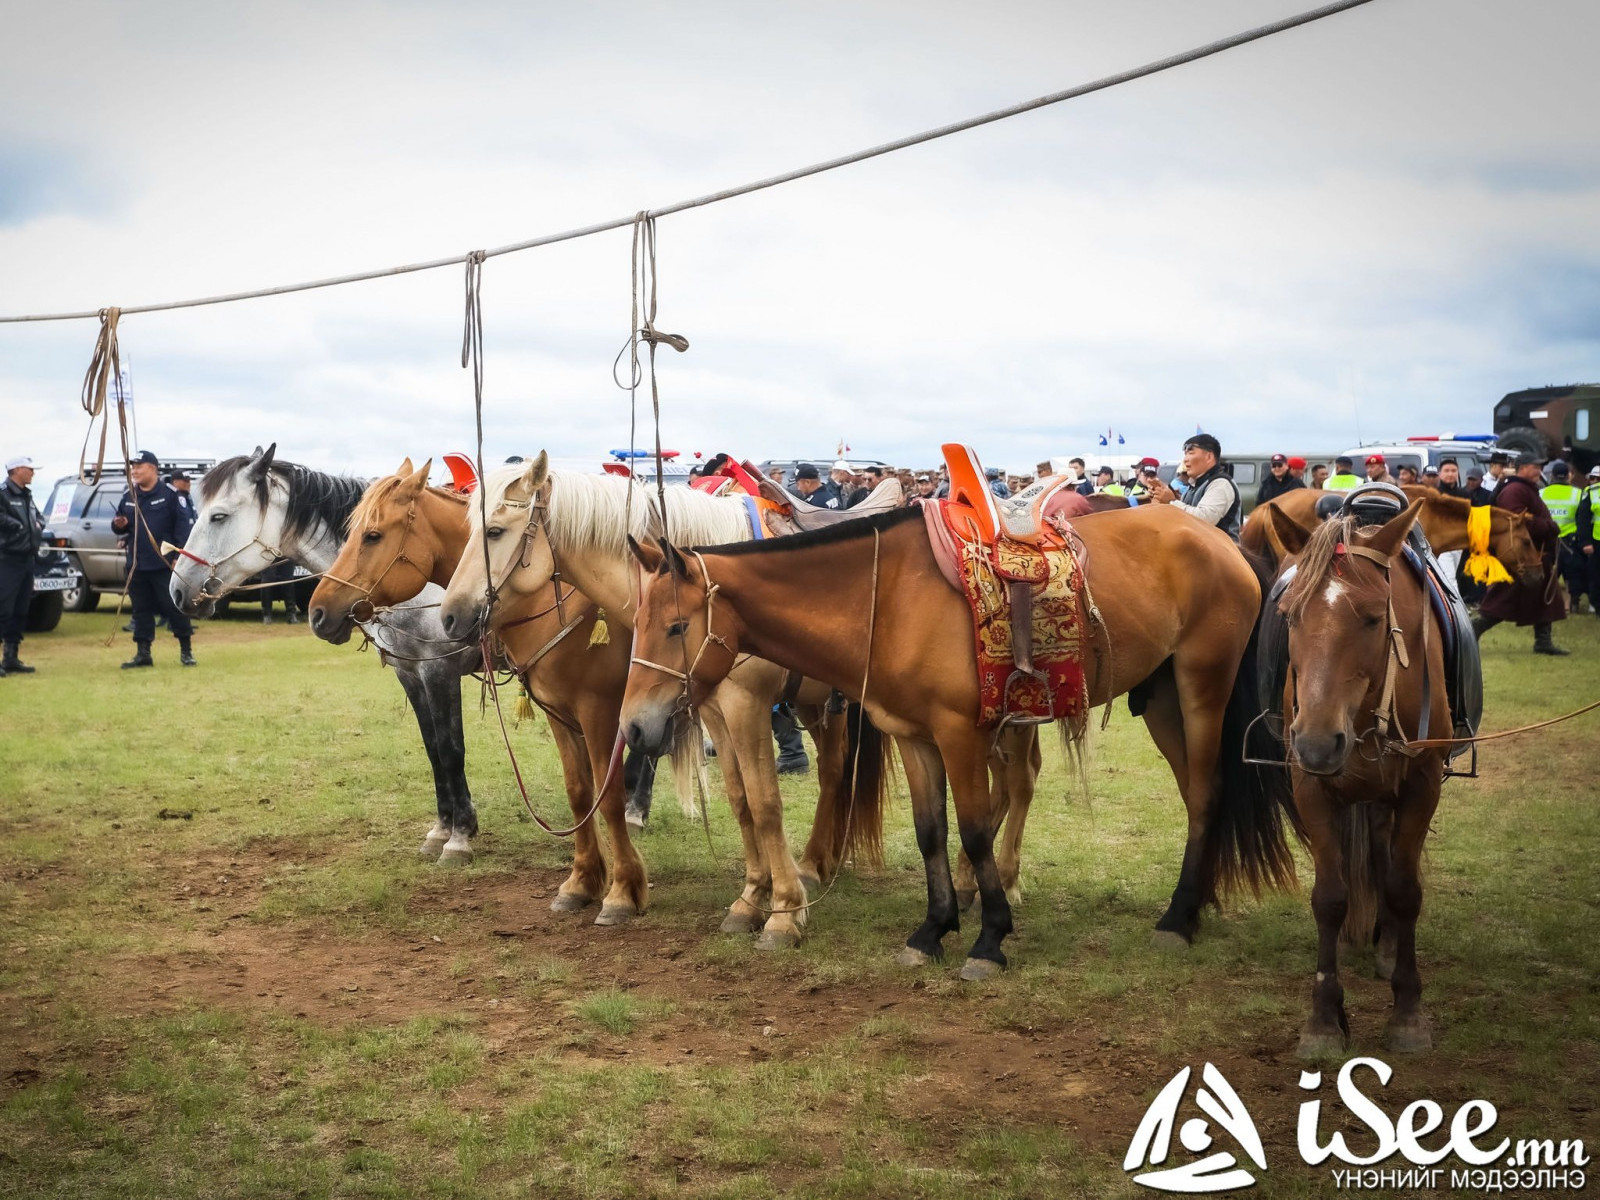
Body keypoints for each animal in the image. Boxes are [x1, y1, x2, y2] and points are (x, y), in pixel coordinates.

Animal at [168, 448, 483, 864]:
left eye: (218, 516)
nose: (177, 590)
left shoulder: (439, 671)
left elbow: (450, 750)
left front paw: (459, 837)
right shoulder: (411, 673)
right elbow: (433, 750)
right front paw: (441, 830)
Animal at [438, 454, 896, 953]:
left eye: (495, 531)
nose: (449, 616)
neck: (718, 596)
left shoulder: (743, 706)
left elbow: (765, 804)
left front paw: (784, 913)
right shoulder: (713, 709)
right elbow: (740, 801)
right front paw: (750, 901)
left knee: (835, 771)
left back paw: (811, 867)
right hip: (815, 703)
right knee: (835, 769)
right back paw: (819, 862)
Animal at [617, 502, 1292, 979]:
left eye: (675, 626)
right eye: (635, 622)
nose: (634, 728)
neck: (887, 598)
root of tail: (1223, 541)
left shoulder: (960, 735)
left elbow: (971, 830)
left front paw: (989, 940)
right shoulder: (914, 738)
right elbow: (930, 832)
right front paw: (932, 931)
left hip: (1202, 689)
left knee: (1204, 794)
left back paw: (1178, 919)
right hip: (1163, 700)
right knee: (1195, 794)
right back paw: (1193, 906)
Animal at [1260, 502, 1452, 1056]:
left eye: (1371, 618)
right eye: (1290, 615)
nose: (1319, 742)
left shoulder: (1422, 786)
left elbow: (1405, 890)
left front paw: (1408, 1011)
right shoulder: (1310, 788)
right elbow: (1330, 897)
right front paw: (1325, 1018)